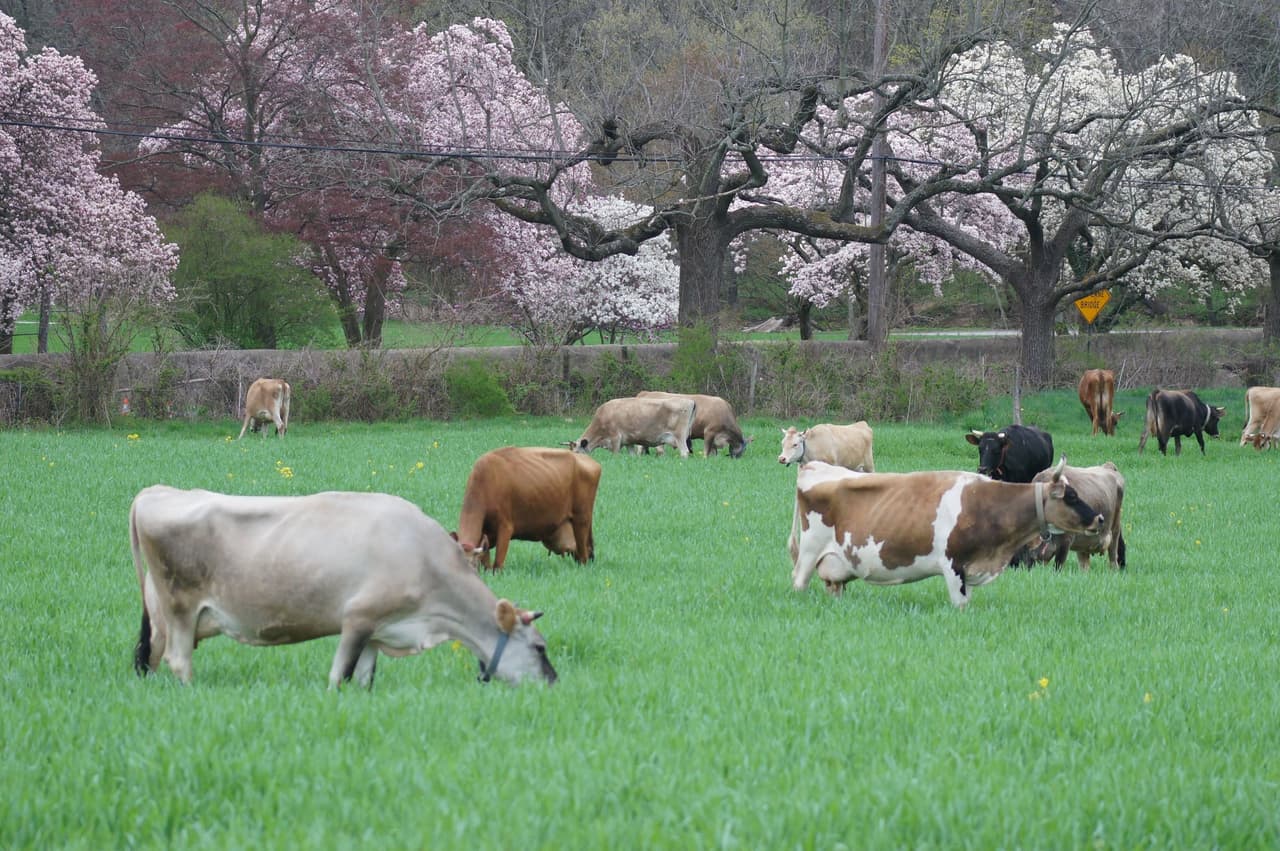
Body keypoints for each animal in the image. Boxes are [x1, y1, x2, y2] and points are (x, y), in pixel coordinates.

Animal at [129, 485, 557, 689]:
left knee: (152, 659)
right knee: (180, 661)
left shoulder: (378, 631)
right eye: (539, 647)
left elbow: (364, 679)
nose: (553, 683)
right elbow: (339, 676)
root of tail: (156, 491)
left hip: (163, 621)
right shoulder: (357, 619)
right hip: (181, 608)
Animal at [455, 446, 601, 571]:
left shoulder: (505, 527)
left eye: (471, 564)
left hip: (582, 519)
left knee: (584, 556)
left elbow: (498, 565)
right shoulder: (485, 535)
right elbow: (487, 565)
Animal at [789, 458, 1104, 607]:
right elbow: (959, 603)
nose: (1100, 518)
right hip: (809, 552)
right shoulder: (953, 565)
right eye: (1071, 497)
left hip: (836, 568)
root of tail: (814, 465)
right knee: (799, 582)